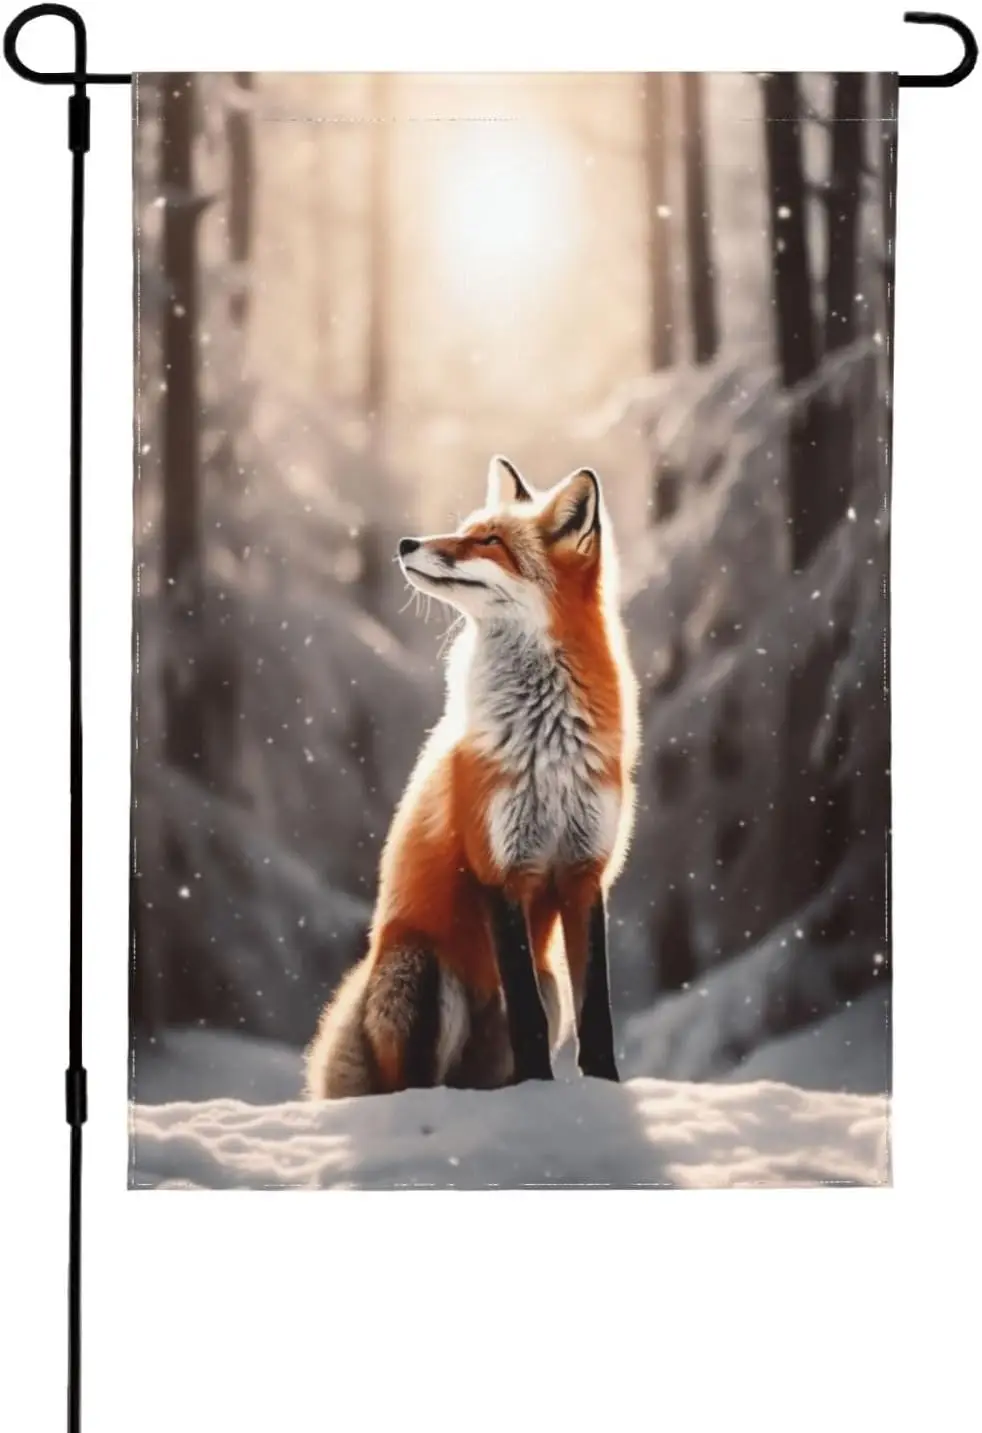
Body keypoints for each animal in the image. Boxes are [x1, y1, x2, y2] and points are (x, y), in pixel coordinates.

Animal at [304, 454, 640, 1098]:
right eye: (466, 530)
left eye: (489, 541)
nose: (407, 543)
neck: (545, 741)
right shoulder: (498, 867)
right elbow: (526, 1017)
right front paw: (540, 1092)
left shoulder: (586, 873)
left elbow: (599, 1011)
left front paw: (604, 1089)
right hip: (420, 972)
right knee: (414, 1079)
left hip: (545, 985)